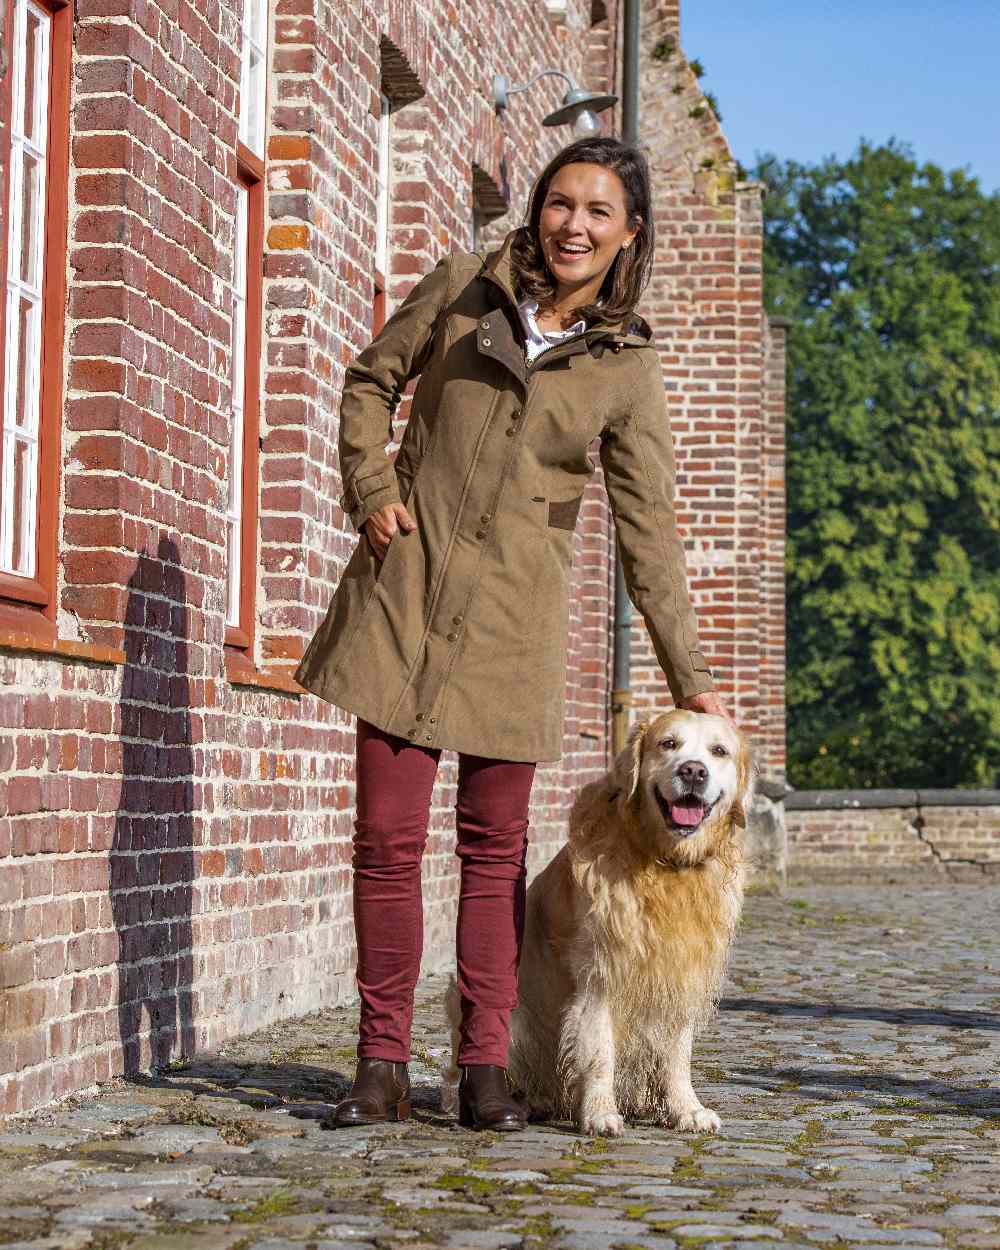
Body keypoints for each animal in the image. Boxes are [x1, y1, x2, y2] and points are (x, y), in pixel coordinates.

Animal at [445, 715, 750, 1135]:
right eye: (668, 744)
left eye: (719, 751)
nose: (692, 771)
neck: (663, 864)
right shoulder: (600, 973)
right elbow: (599, 1051)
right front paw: (599, 1112)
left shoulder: (680, 974)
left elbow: (676, 1054)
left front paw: (686, 1109)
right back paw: (525, 1101)